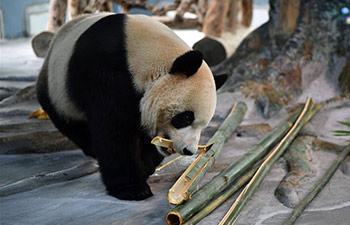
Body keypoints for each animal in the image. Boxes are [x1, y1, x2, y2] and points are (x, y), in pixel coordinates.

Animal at [37, 12, 226, 200]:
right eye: (186, 117)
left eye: (203, 126)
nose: (188, 151)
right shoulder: (108, 75)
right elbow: (114, 132)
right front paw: (133, 188)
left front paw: (146, 163)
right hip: (58, 90)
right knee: (72, 124)